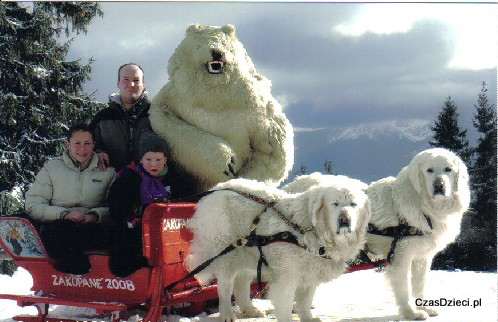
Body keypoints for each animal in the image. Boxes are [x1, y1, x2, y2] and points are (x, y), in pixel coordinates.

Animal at [189, 177, 372, 320]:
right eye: (335, 203)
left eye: (353, 204)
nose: (344, 219)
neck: (310, 229)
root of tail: (216, 188)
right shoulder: (287, 275)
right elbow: (285, 304)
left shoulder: (310, 273)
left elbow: (305, 303)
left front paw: (308, 318)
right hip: (226, 253)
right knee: (225, 286)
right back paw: (227, 314)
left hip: (248, 253)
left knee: (241, 283)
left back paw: (250, 309)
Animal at [288, 150, 470, 320]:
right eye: (429, 170)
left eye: (448, 169)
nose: (439, 185)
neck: (423, 203)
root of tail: (292, 186)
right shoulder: (401, 256)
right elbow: (404, 288)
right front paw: (411, 313)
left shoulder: (422, 257)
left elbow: (420, 285)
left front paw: (424, 307)